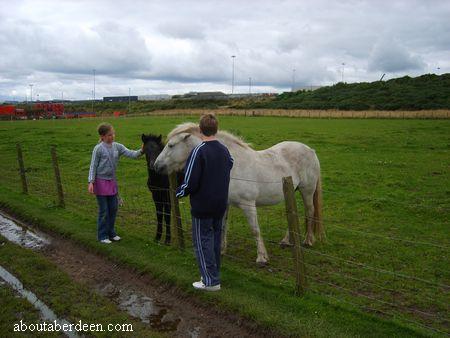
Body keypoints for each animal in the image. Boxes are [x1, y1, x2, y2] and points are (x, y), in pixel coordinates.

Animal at [155, 123, 324, 266]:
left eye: (171, 145)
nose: (156, 166)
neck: (231, 166)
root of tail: (310, 150)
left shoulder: (248, 205)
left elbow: (255, 230)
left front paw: (262, 257)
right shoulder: (224, 204)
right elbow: (222, 227)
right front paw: (221, 250)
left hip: (307, 191)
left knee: (310, 211)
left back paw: (308, 240)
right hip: (292, 192)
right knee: (294, 216)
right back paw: (287, 241)